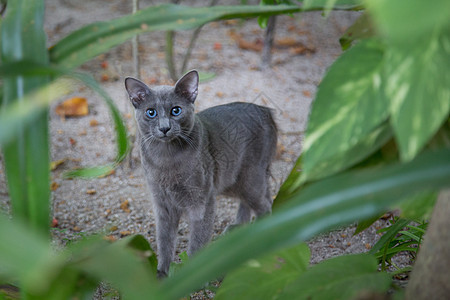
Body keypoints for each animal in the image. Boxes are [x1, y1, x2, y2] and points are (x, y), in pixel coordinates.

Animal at [125, 69, 276, 276]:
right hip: (233, 180)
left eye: (176, 110)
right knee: (259, 198)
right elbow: (164, 242)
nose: (164, 128)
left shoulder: (202, 202)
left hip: (248, 177)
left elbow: (197, 242)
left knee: (264, 206)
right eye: (151, 112)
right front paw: (162, 274)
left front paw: (192, 274)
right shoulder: (162, 204)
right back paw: (238, 230)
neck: (166, 160)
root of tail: (265, 110)